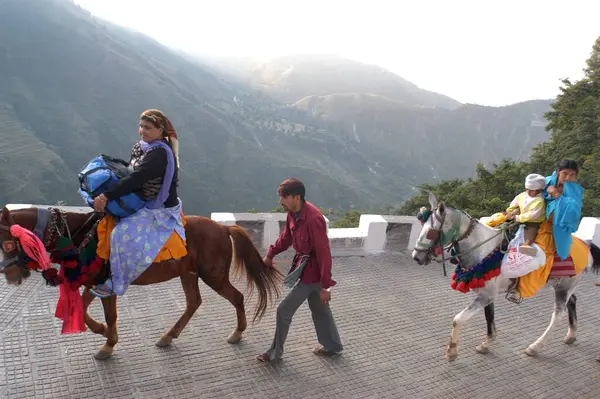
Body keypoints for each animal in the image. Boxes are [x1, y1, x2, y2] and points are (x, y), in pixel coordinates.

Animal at [0, 208, 284, 360]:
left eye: (7, 244)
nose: (11, 276)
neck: (81, 235)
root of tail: (223, 228)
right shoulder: (94, 282)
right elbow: (82, 307)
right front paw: (102, 331)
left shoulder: (105, 285)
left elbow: (109, 315)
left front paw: (107, 343)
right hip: (189, 273)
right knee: (193, 302)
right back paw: (168, 336)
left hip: (213, 275)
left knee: (236, 298)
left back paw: (237, 333)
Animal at [410, 193, 600, 362]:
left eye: (431, 232)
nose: (417, 257)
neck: (484, 250)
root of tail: (586, 244)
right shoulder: (486, 293)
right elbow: (489, 317)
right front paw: (486, 344)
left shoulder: (486, 295)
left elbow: (458, 319)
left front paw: (452, 352)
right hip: (562, 284)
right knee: (572, 301)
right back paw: (571, 335)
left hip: (563, 287)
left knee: (557, 314)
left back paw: (535, 347)